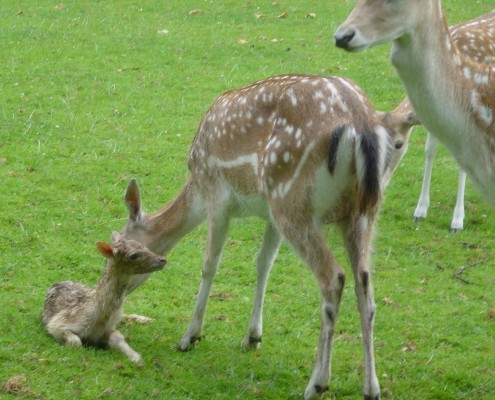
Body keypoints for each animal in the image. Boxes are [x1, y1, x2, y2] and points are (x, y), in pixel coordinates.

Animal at [43, 231, 167, 366]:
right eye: (133, 255)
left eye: (145, 246)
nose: (163, 259)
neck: (99, 319)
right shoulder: (58, 322)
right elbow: (76, 342)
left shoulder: (109, 328)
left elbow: (119, 337)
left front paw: (137, 359)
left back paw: (146, 319)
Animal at [119, 73, 418, 398]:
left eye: (127, 251)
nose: (120, 291)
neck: (195, 187)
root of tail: (360, 126)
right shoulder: (269, 215)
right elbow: (264, 263)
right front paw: (252, 337)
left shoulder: (217, 195)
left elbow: (210, 264)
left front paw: (189, 337)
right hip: (359, 211)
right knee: (364, 283)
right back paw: (371, 387)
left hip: (291, 199)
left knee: (333, 277)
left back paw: (317, 383)